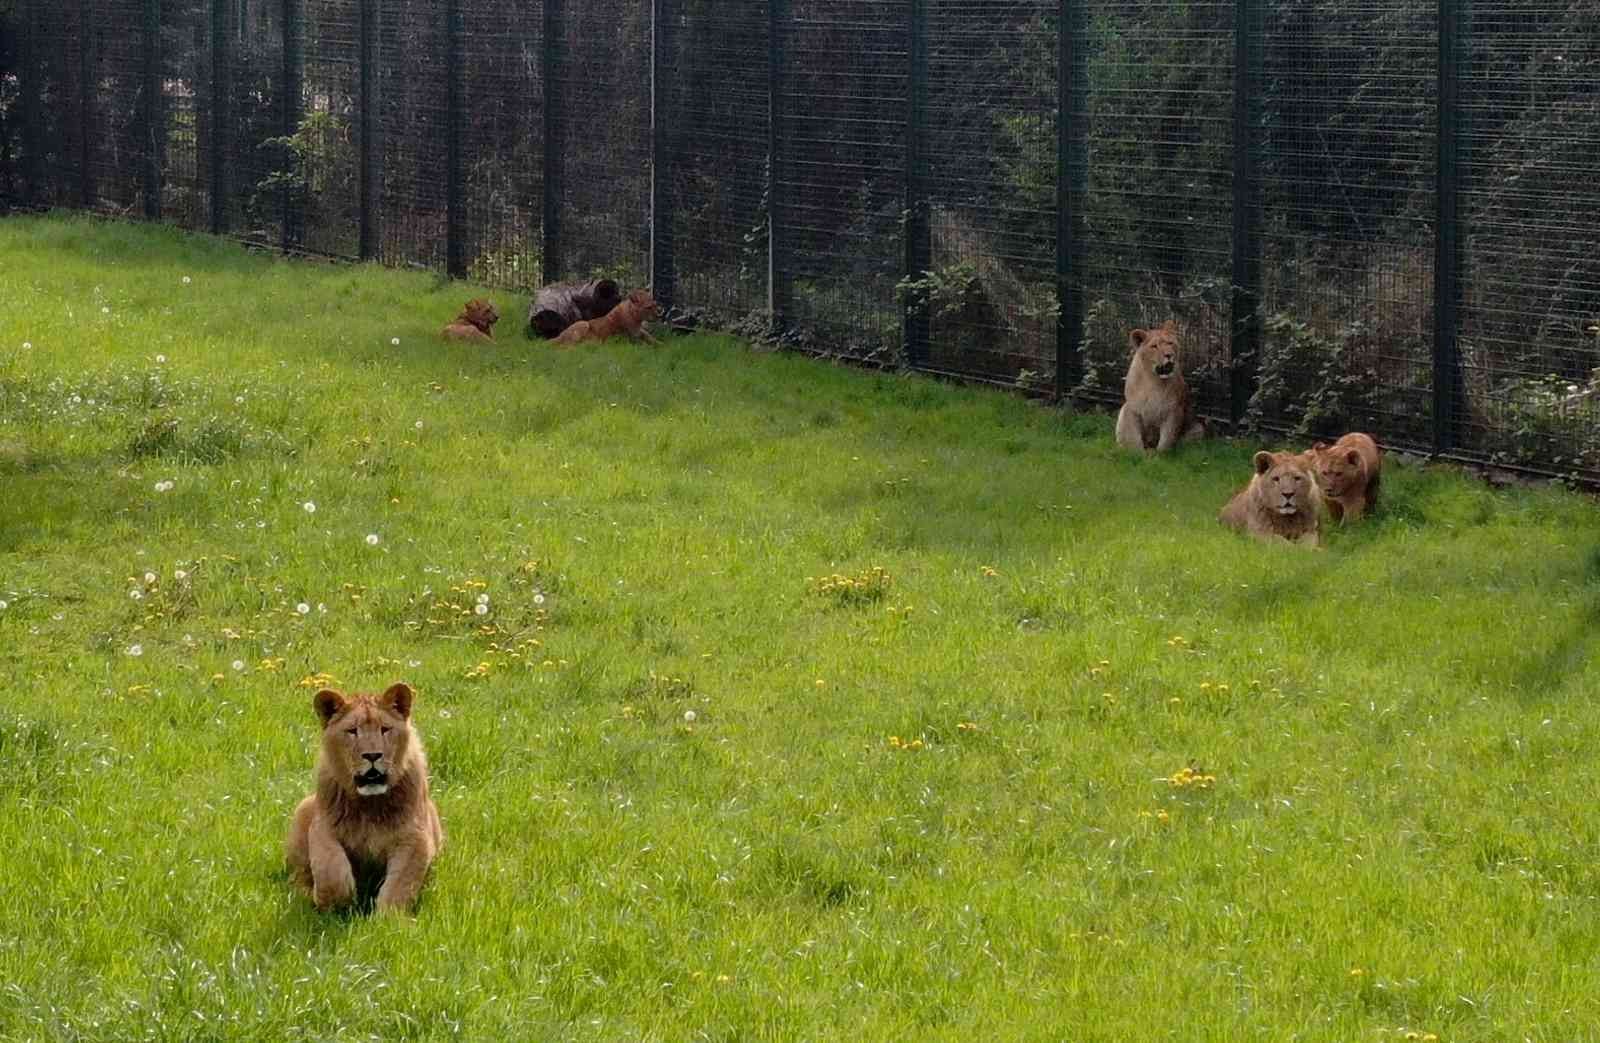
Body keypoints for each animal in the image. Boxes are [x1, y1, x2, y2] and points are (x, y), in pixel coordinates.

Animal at [286, 675, 444, 915]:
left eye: (385, 729)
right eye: (352, 731)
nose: (372, 755)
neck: (370, 804)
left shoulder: (415, 837)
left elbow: (400, 885)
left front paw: (388, 919)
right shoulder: (322, 828)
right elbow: (331, 871)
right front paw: (333, 904)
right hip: (303, 808)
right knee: (297, 876)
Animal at [1113, 321, 1203, 451]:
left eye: (1170, 343)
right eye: (1154, 346)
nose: (1169, 355)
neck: (1154, 381)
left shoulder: (1173, 410)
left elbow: (1166, 439)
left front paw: (1160, 454)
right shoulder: (1132, 409)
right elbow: (1134, 438)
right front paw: (1138, 453)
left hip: (1198, 429)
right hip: (1123, 410)